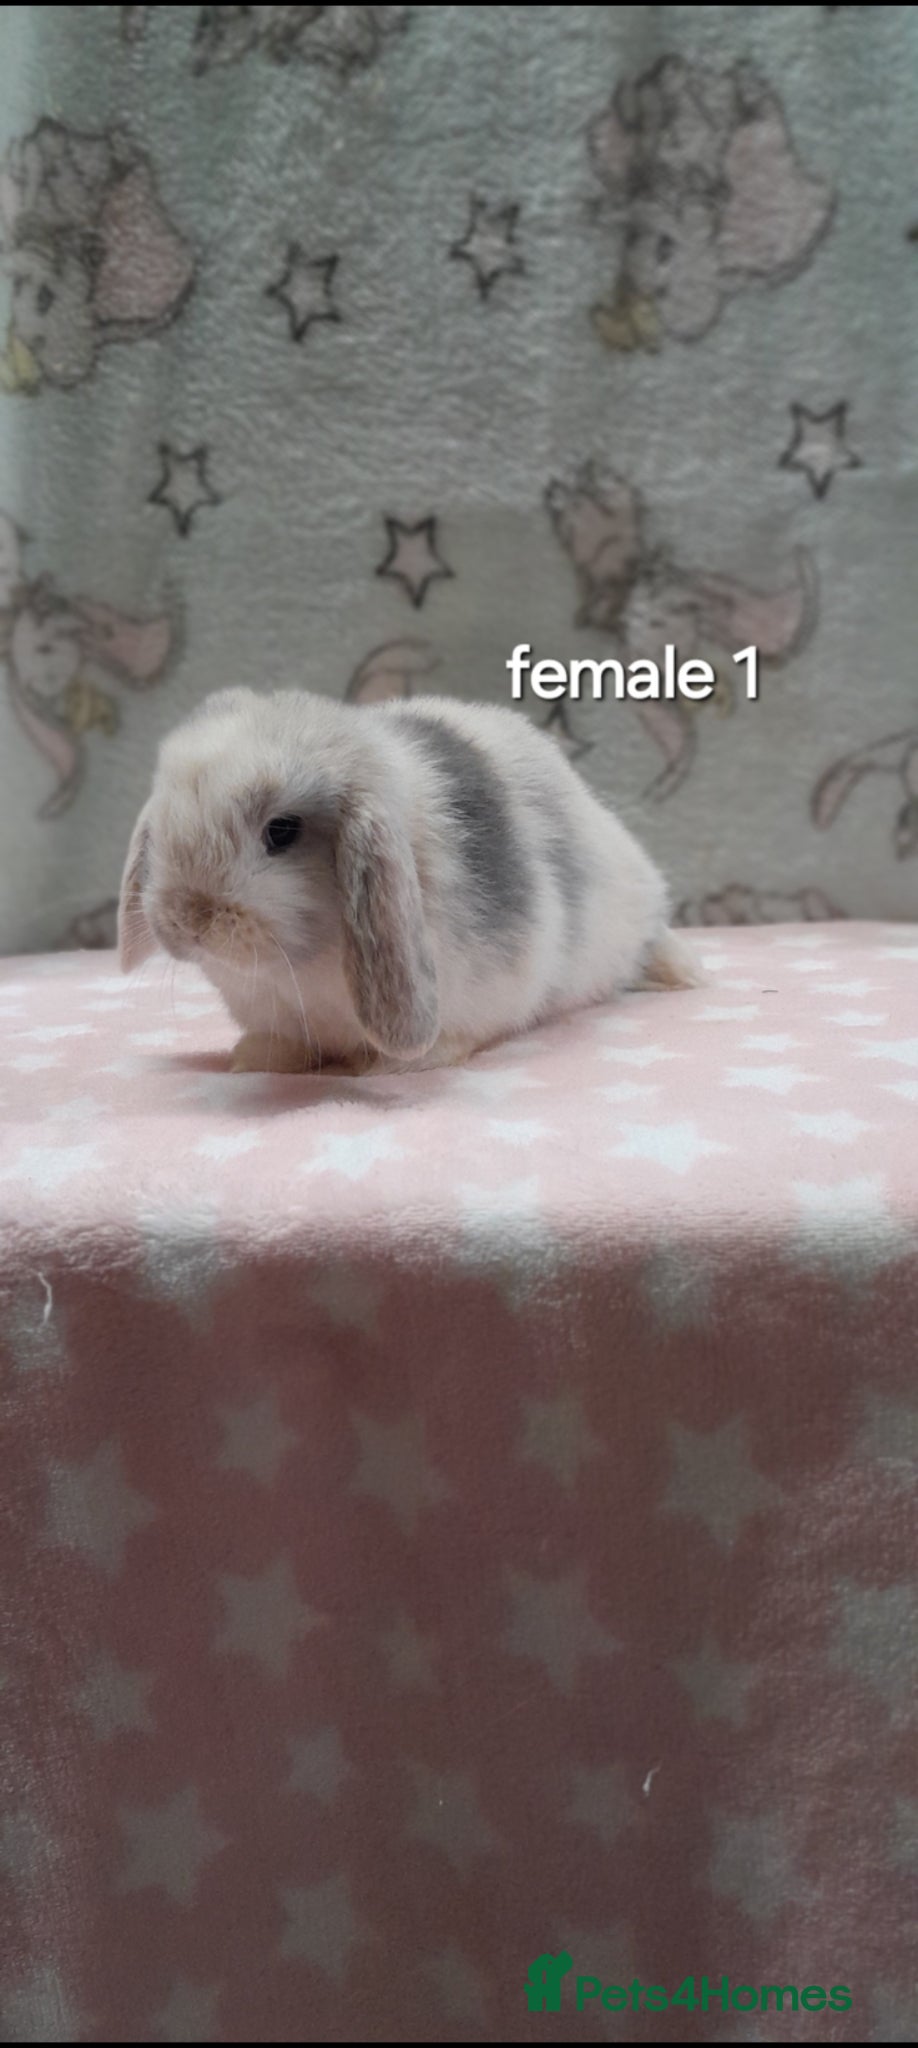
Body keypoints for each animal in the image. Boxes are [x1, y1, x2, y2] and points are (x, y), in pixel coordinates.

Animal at [118, 687, 699, 1073]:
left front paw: (389, 1065)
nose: (187, 918)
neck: (296, 972)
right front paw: (256, 1058)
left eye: (282, 831)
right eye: (163, 821)